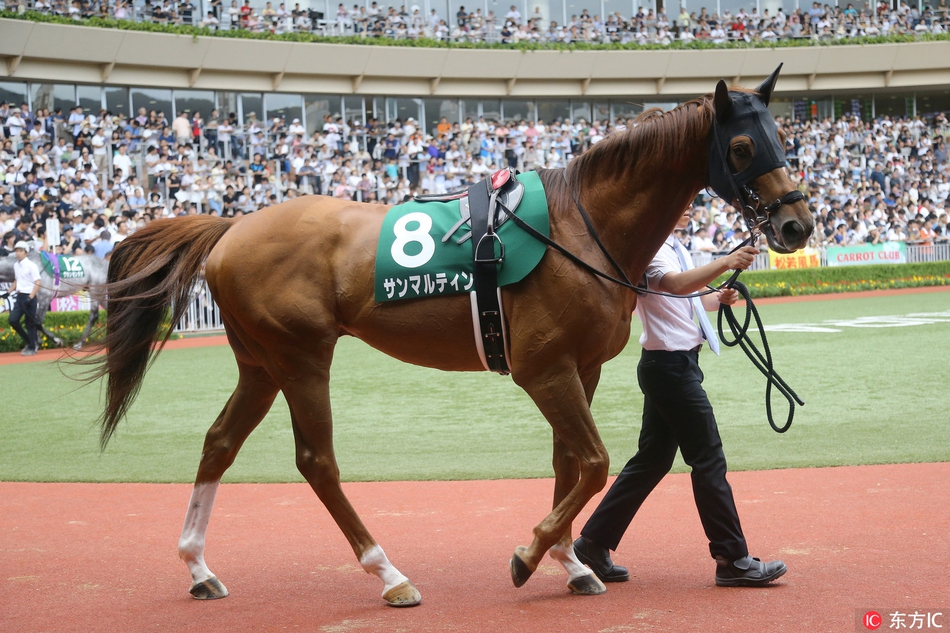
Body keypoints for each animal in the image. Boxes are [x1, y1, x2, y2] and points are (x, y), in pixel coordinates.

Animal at [87, 68, 814, 607]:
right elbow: (594, 461)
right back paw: (388, 574)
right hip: (300, 355)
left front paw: (572, 562)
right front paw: (529, 555)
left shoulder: (580, 368)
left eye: (783, 135)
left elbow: (568, 465)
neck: (579, 225)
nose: (798, 224)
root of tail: (231, 227)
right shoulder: (543, 369)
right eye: (742, 147)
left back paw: (199, 567)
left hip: (259, 362)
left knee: (219, 442)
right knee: (316, 460)